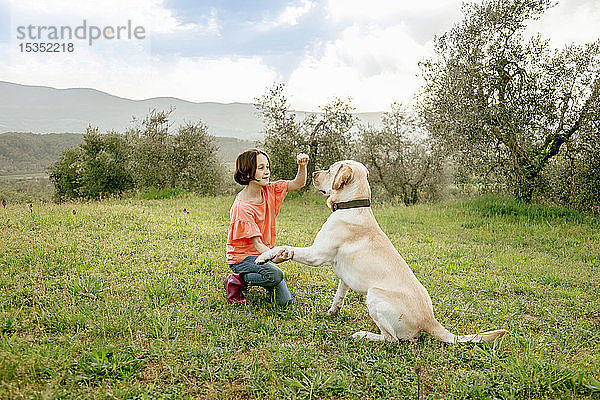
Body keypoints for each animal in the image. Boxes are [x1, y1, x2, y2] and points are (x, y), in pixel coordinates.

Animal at [255, 160, 508, 344]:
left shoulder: (316, 255)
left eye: (331, 169)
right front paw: (333, 312)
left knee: (392, 339)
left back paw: (364, 335)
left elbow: (286, 248)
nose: (314, 172)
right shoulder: (344, 277)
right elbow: (339, 295)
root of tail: (430, 320)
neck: (353, 206)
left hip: (374, 295)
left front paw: (266, 256)